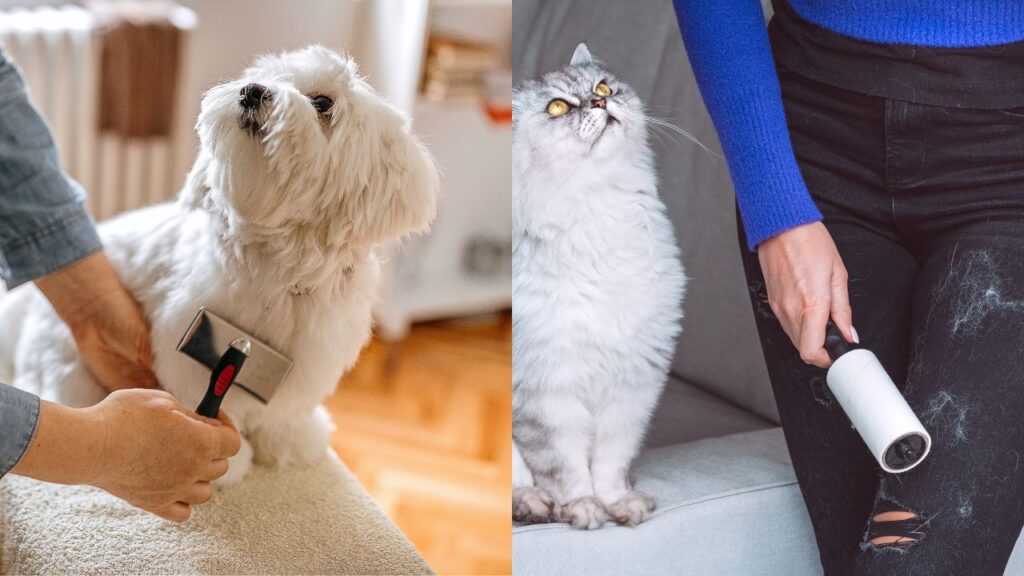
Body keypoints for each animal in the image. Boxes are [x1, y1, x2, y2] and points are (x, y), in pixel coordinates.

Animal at [0, 47, 436, 481]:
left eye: (323, 103)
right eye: (267, 75)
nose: (252, 90)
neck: (280, 271)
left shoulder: (307, 361)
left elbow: (284, 412)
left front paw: (293, 441)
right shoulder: (193, 345)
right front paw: (230, 461)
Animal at [512, 43, 688, 528]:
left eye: (604, 88)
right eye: (557, 107)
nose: (598, 103)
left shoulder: (632, 385)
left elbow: (611, 460)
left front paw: (618, 503)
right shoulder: (546, 392)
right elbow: (566, 469)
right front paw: (584, 509)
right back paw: (534, 505)